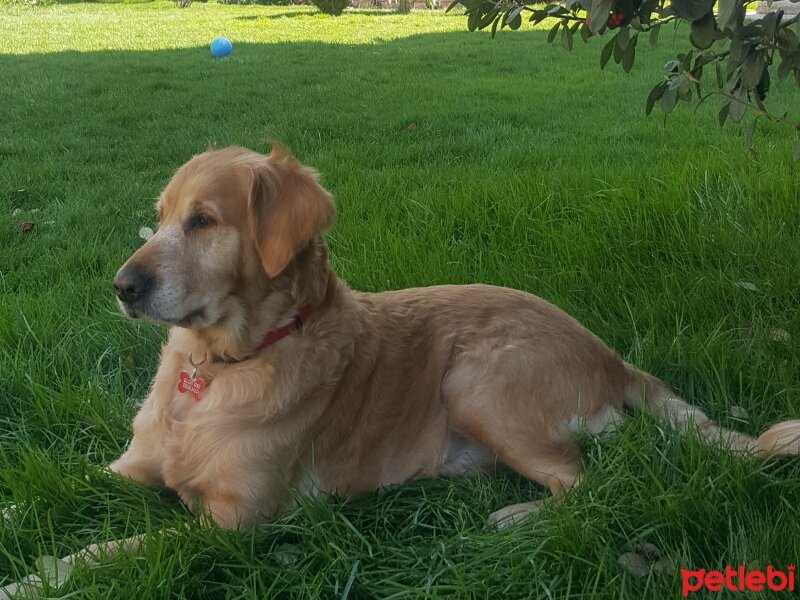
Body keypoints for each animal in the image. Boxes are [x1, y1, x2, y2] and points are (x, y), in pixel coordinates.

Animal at [111, 145, 800, 528]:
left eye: (203, 221)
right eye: (160, 217)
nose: (122, 286)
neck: (220, 364)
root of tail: (611, 355)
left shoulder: (235, 521)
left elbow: (129, 545)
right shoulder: (125, 469)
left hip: (476, 383)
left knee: (588, 484)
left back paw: (517, 516)